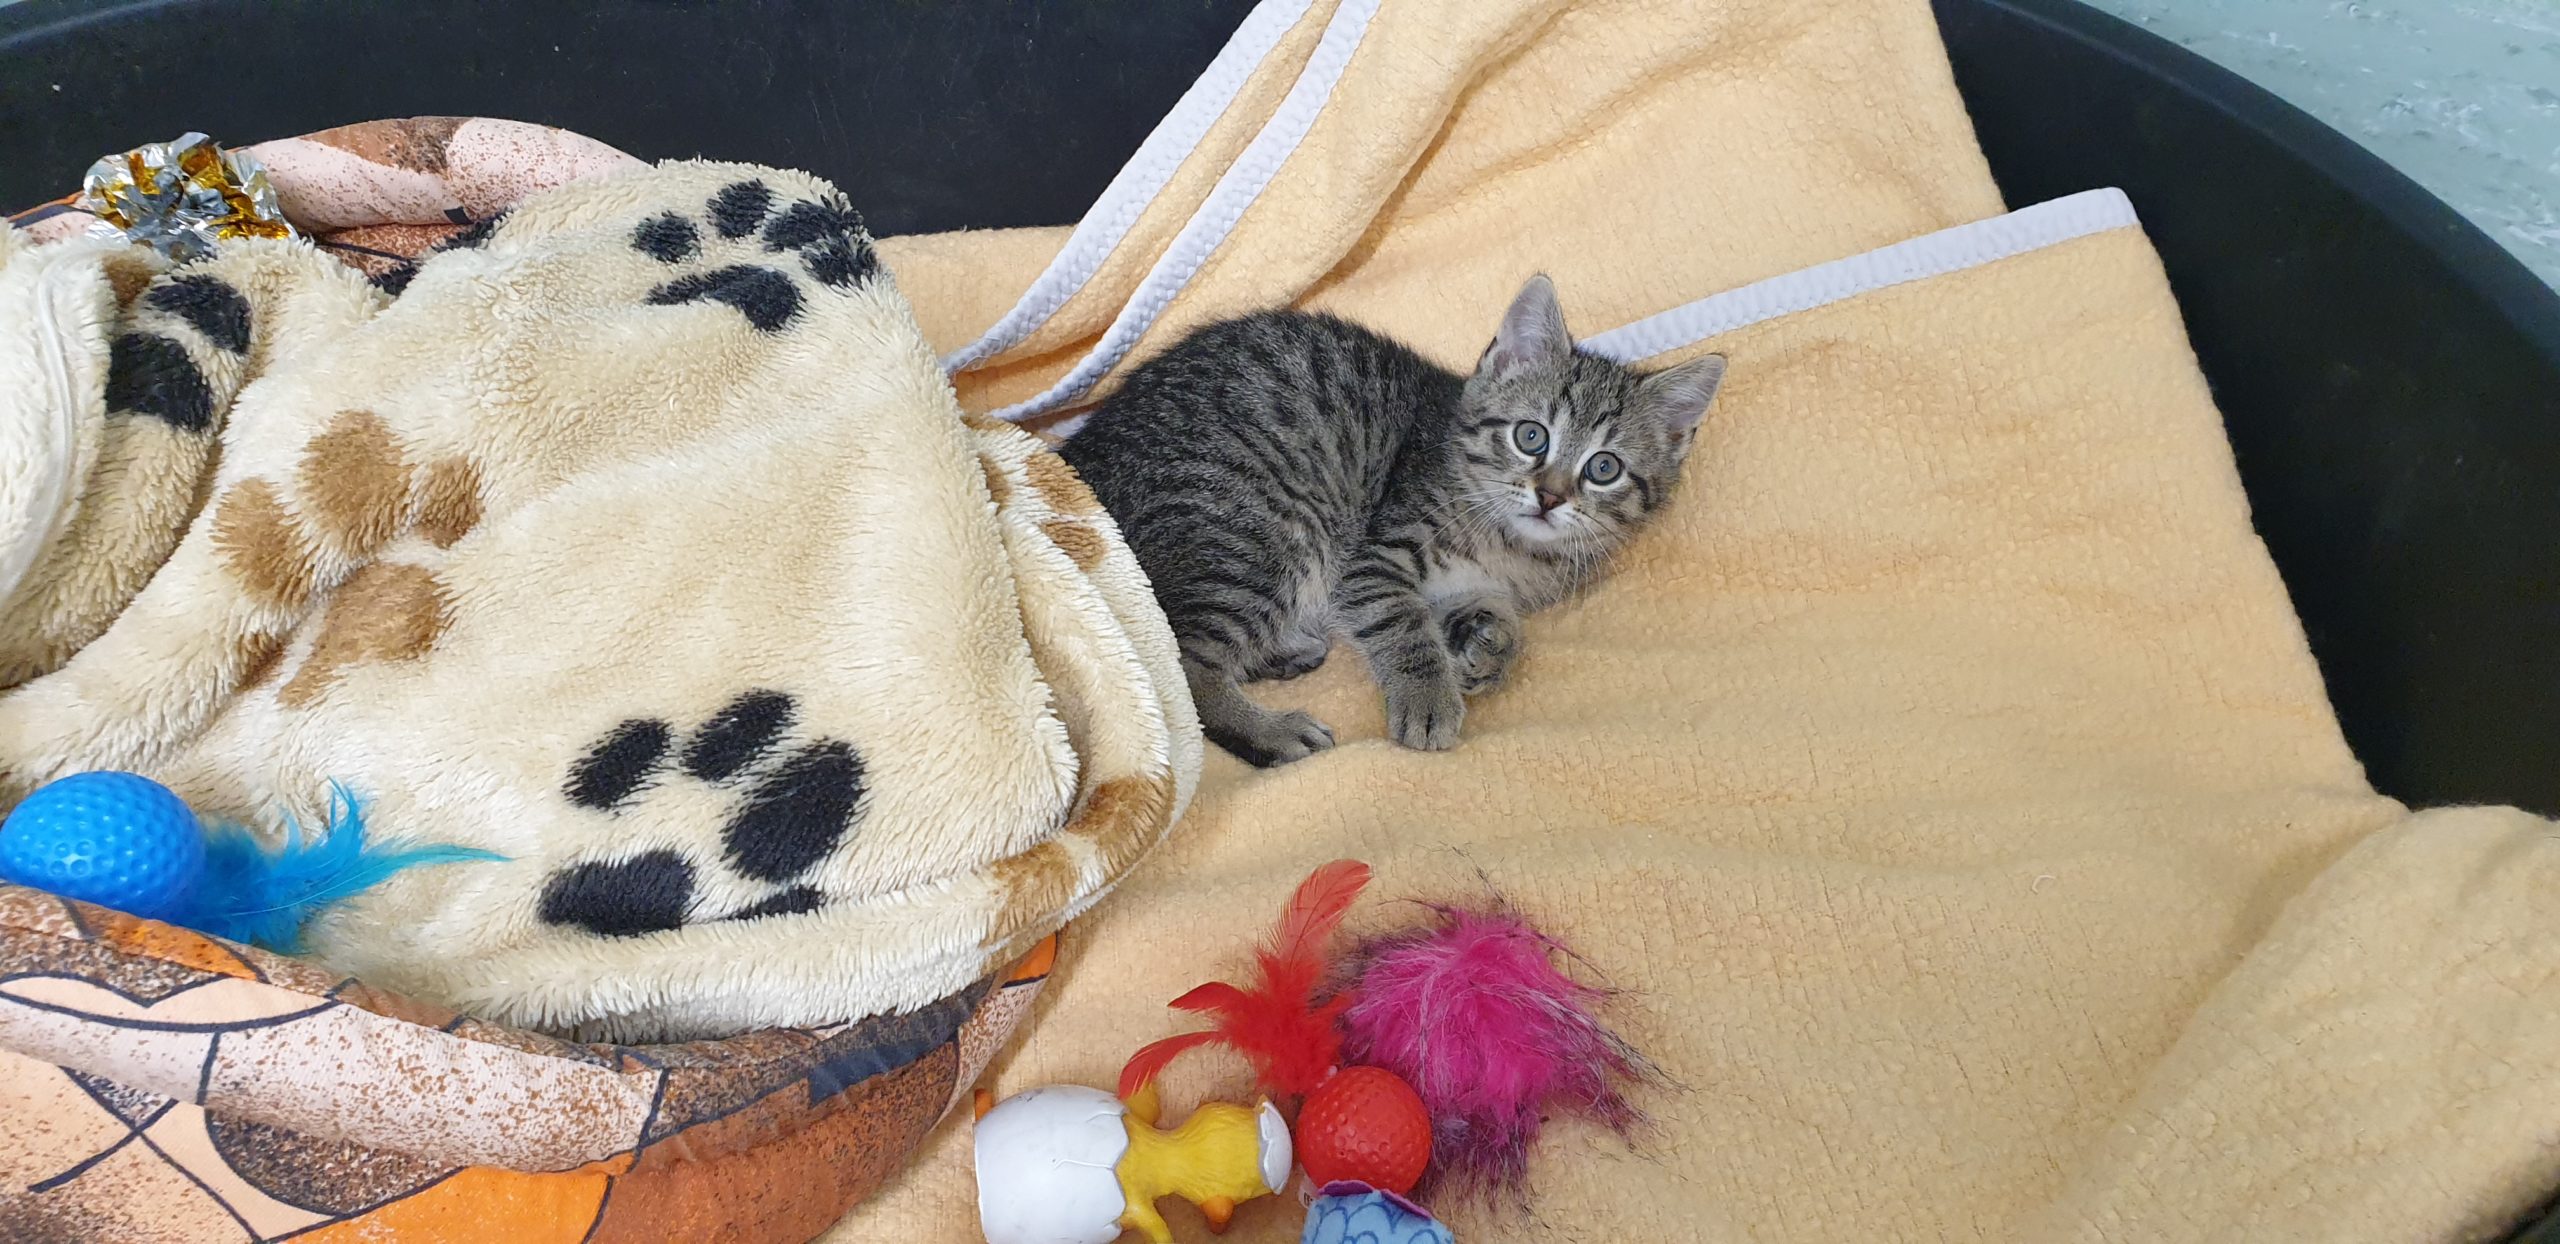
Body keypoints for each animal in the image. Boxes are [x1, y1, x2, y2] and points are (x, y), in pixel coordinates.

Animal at [1059, 274, 1725, 767]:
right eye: (1531, 436)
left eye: (1604, 468)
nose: (1550, 496)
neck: (1508, 547)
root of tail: (1081, 459)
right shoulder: (1374, 554)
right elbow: (1401, 623)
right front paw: (1429, 698)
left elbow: (1490, 619)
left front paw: (1490, 647)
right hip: (1259, 531)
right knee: (1183, 664)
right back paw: (1273, 733)